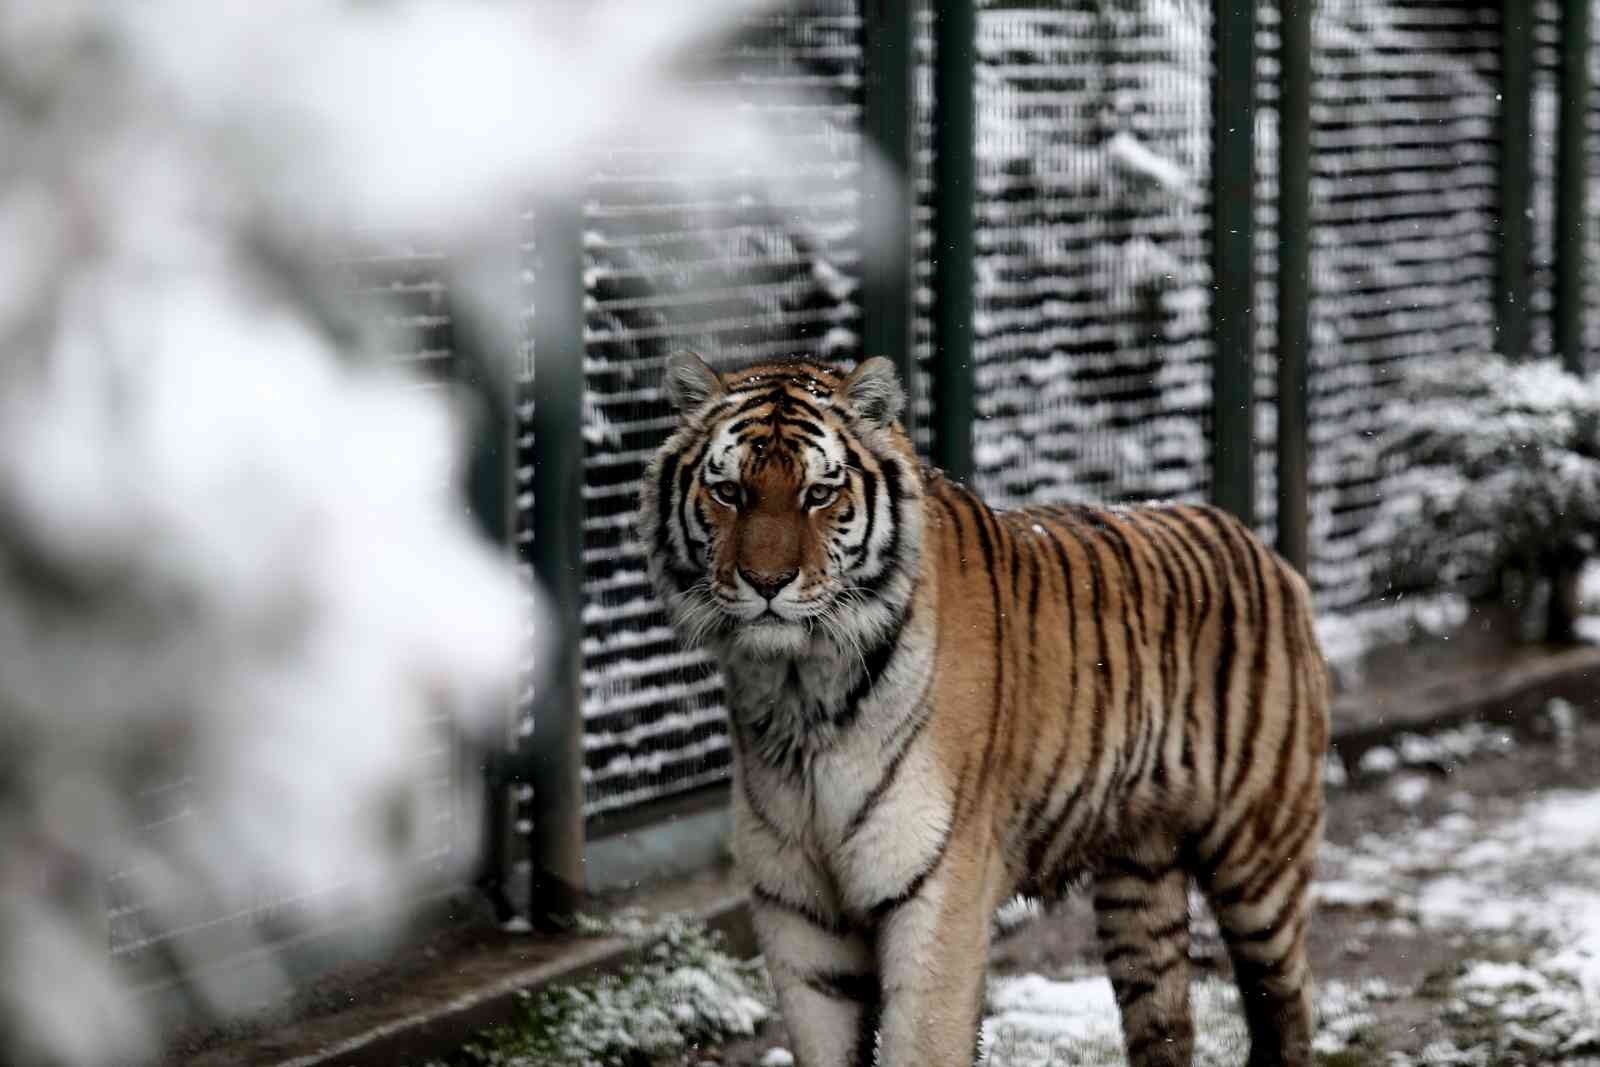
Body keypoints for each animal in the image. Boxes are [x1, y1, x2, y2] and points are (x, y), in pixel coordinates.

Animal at [636, 351, 1324, 1067]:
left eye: (819, 494)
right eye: (729, 492)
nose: (766, 583)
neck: (798, 690)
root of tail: (1260, 545)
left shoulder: (936, 890)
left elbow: (922, 1042)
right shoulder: (799, 914)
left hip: (1259, 855)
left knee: (1289, 1006)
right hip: (1140, 873)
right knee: (1166, 1022)